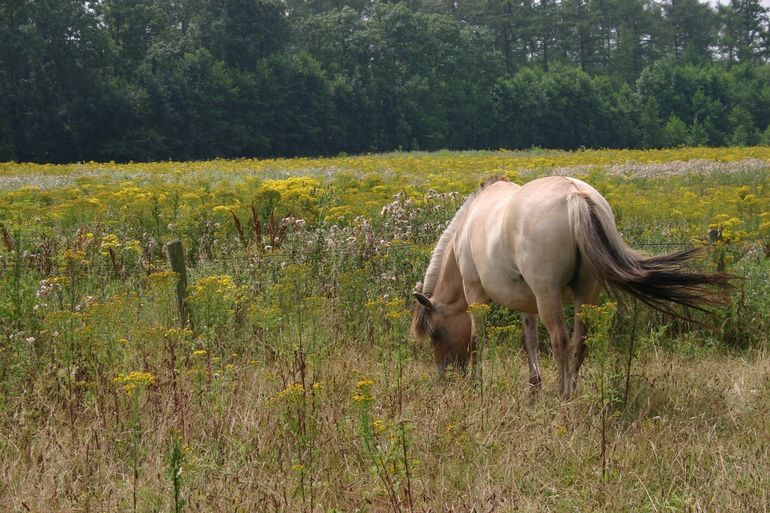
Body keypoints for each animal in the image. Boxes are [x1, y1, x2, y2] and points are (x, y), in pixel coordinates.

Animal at [410, 176, 733, 399]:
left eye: (436, 334)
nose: (445, 377)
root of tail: (575, 196)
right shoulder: (527, 301)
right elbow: (529, 340)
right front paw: (534, 387)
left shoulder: (477, 295)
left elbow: (479, 339)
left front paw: (478, 383)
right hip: (584, 295)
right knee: (579, 342)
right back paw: (572, 392)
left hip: (549, 296)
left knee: (561, 341)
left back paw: (563, 394)